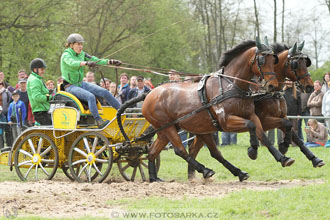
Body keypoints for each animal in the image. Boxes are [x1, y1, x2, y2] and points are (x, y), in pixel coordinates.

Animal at [142, 37, 294, 182]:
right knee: (180, 150)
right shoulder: (226, 121)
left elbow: (262, 134)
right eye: (262, 60)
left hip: (172, 130)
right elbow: (251, 126)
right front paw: (253, 150)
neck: (231, 85)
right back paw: (205, 170)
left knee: (153, 152)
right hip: (167, 127)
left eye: (273, 60)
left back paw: (154, 178)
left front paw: (283, 158)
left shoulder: (252, 115)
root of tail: (150, 94)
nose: (272, 85)